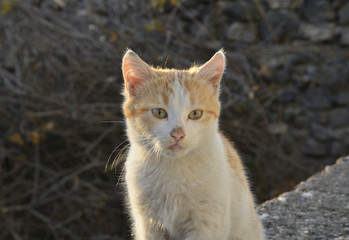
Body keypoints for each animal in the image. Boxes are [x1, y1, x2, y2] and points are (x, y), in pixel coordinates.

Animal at [121, 49, 262, 240]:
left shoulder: (208, 222)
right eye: (159, 112)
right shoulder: (148, 222)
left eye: (195, 114)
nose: (178, 134)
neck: (173, 171)